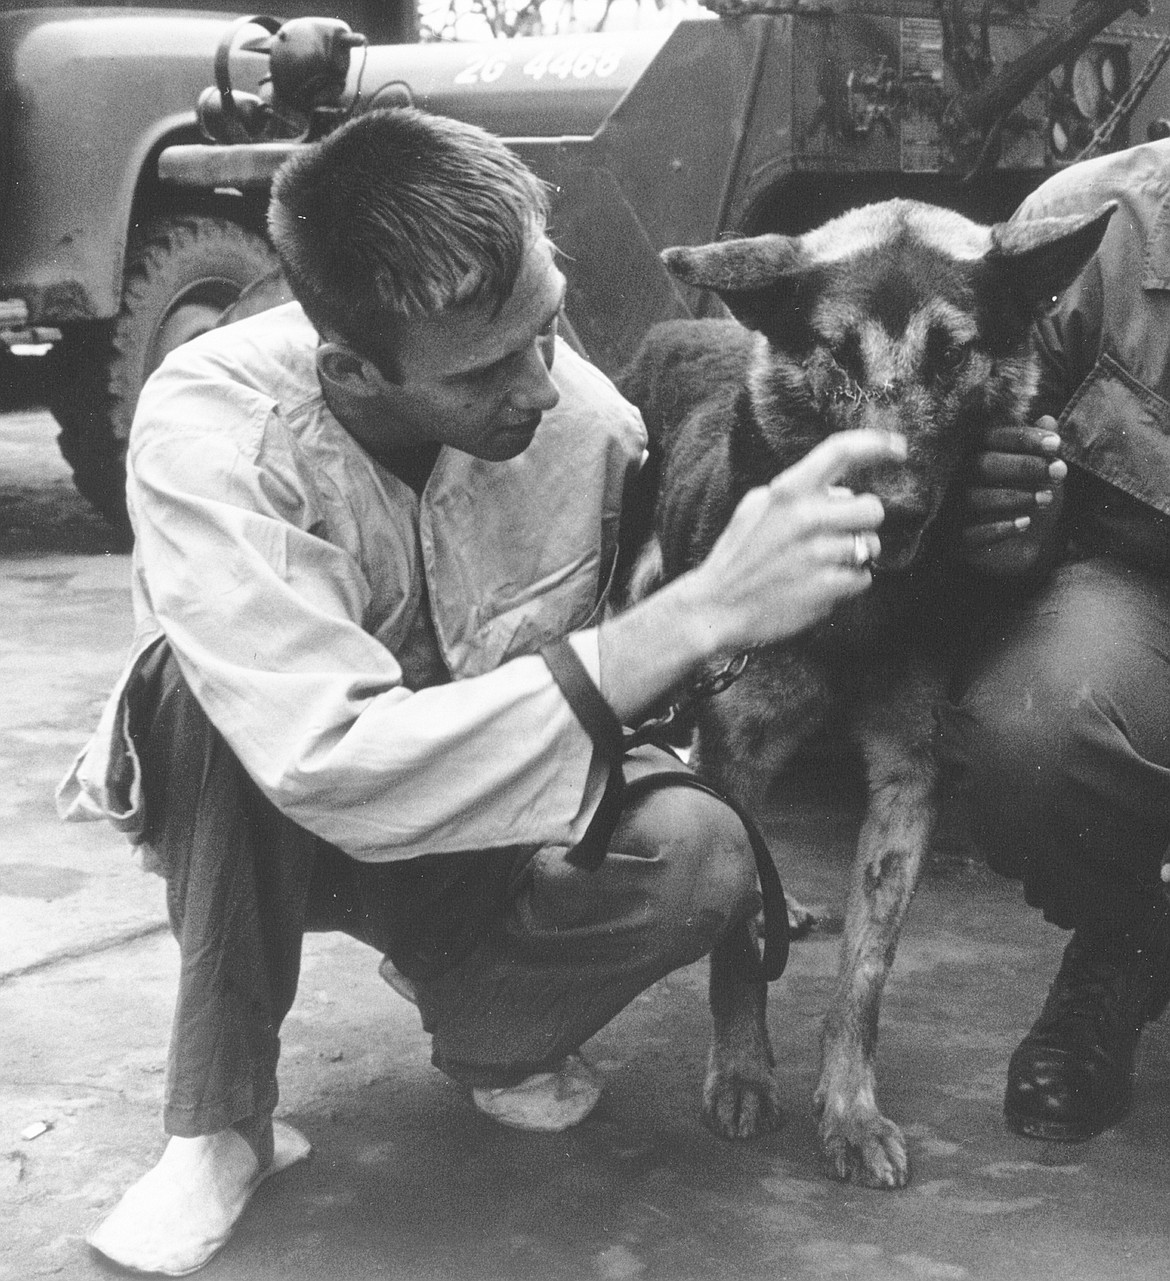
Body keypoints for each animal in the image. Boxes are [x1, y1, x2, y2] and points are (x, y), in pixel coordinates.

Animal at [615, 199, 1107, 1188]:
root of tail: (683, 324)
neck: (860, 608)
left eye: (952, 354)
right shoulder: (741, 747)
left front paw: (849, 1109)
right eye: (838, 354)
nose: (890, 509)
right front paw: (742, 1074)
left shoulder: (909, 781)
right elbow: (736, 949)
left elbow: (864, 978)